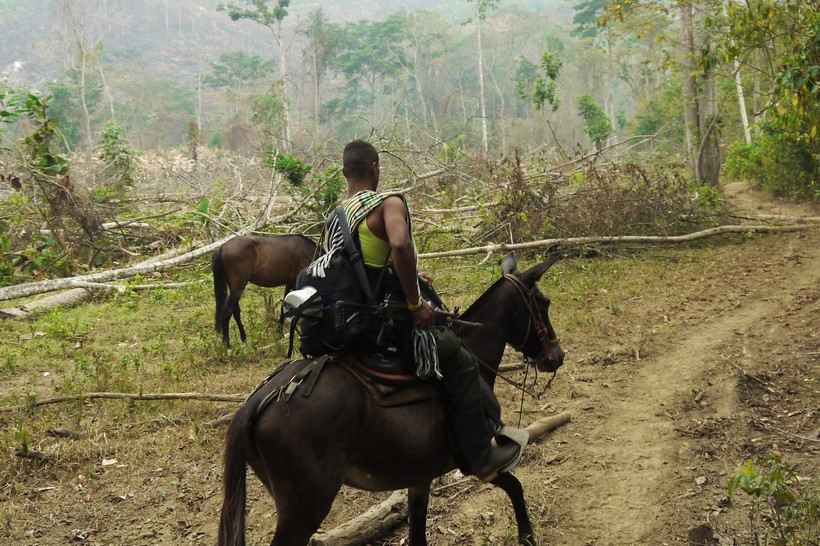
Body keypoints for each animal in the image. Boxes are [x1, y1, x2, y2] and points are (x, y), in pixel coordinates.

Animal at [216, 252, 564, 544]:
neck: (474, 350)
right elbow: (516, 487)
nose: (558, 355)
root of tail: (257, 401)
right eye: (543, 303)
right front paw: (527, 537)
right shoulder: (478, 462)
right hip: (304, 511)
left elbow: (418, 531)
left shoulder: (420, 474)